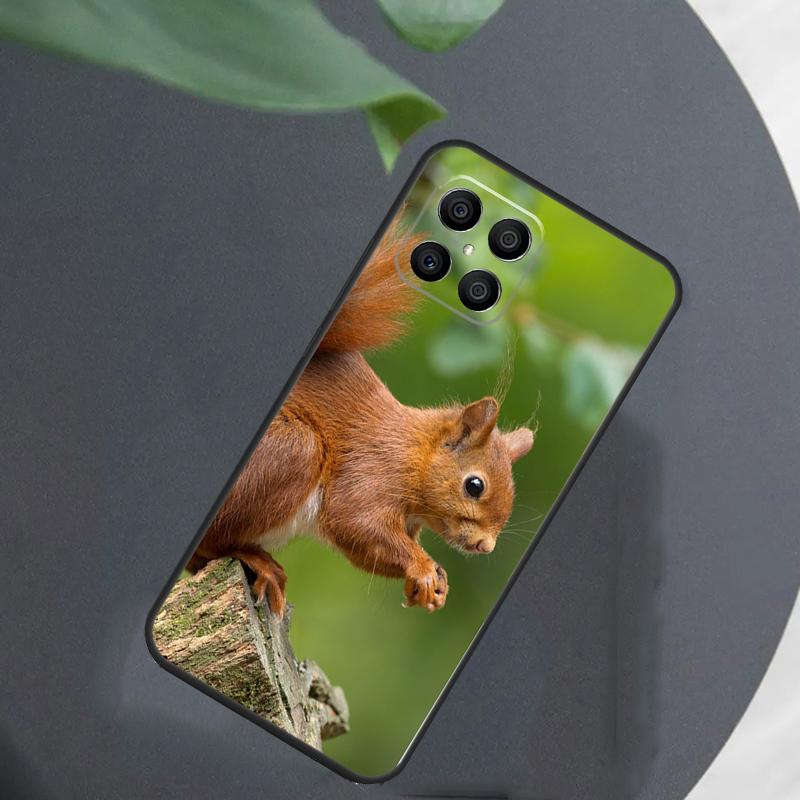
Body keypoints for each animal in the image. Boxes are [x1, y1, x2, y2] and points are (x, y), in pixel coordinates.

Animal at [189, 225, 534, 616]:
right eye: (474, 485)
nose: (484, 546)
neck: (414, 453)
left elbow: (365, 552)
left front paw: (433, 582)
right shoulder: (371, 472)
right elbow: (357, 523)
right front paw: (422, 567)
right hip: (293, 449)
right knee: (216, 541)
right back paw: (260, 561)